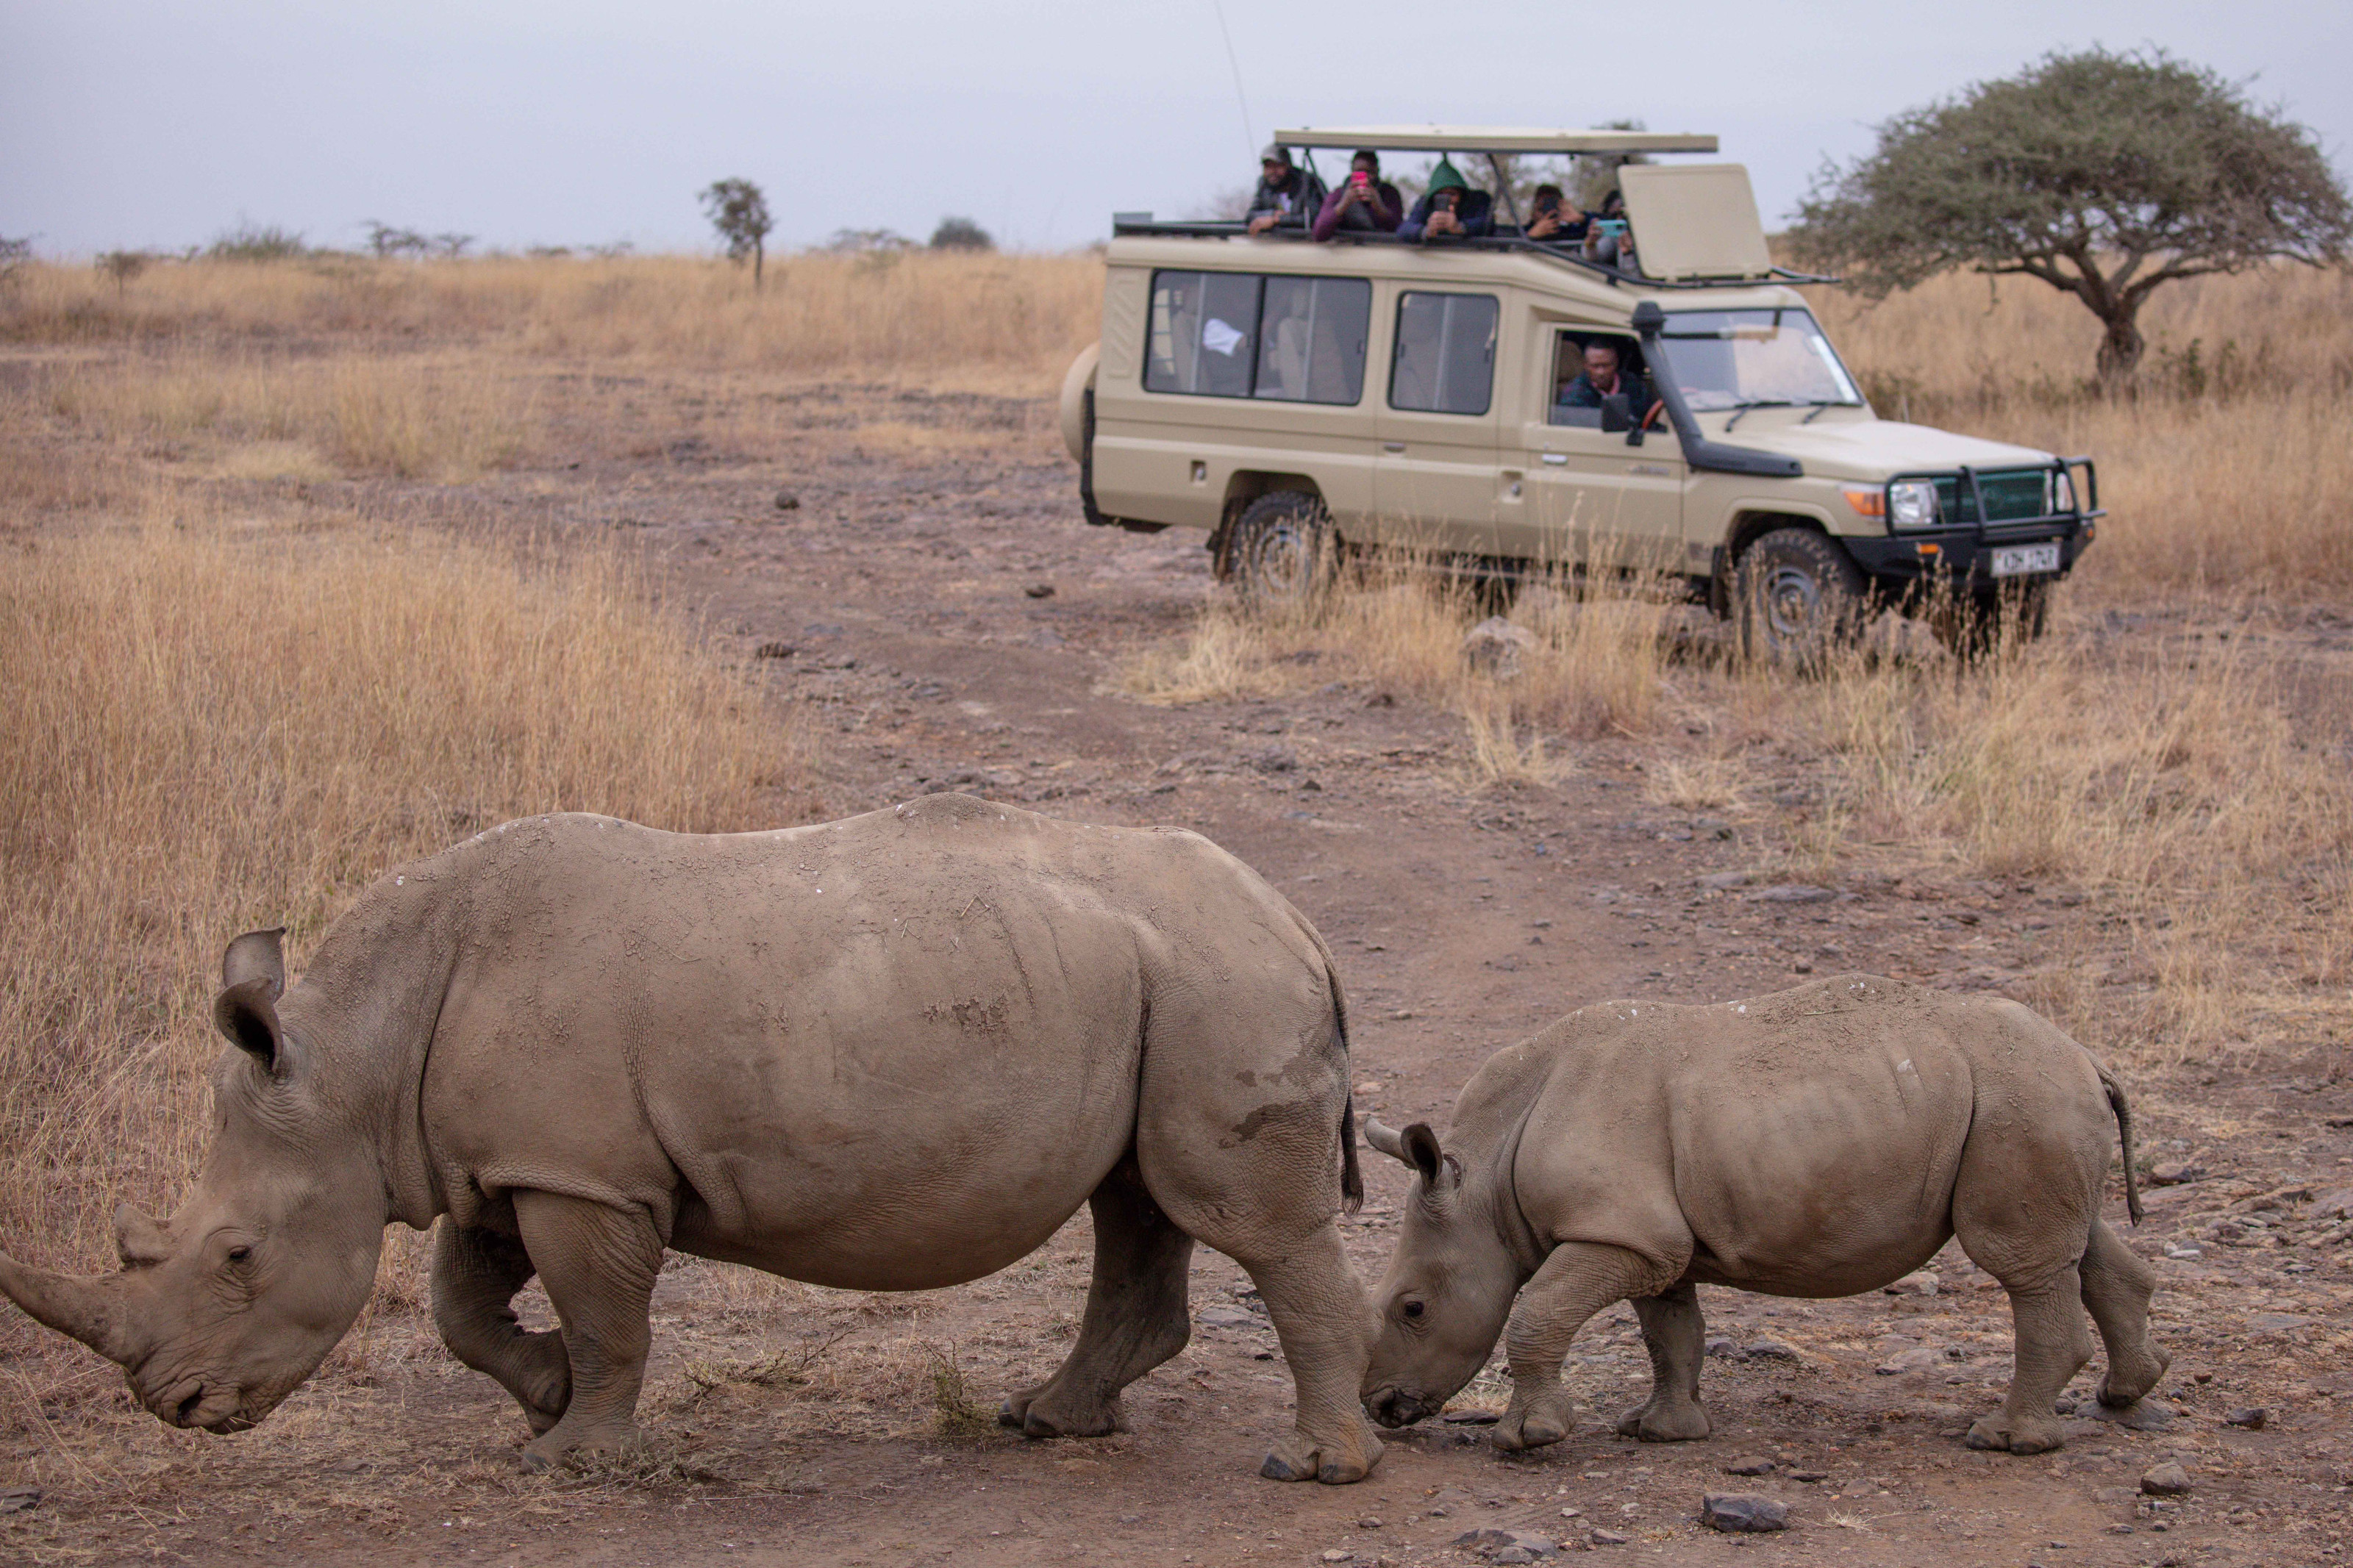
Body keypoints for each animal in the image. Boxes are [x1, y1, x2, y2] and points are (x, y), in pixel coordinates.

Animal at [0, 795, 1386, 1484]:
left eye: (235, 1255)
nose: (175, 1406)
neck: (357, 1060)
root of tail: (1297, 918)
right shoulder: (513, 1159)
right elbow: (461, 1305)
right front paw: (544, 1399)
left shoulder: (585, 1179)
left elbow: (608, 1316)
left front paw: (575, 1461)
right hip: (1160, 981)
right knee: (1137, 1200)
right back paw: (1047, 1421)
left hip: (1218, 981)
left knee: (1245, 1223)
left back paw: (1312, 1469)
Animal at [1358, 976, 2168, 1457]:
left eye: (1413, 1308)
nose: (1379, 1406)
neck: (1484, 1180)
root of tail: (2088, 1056)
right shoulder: (1649, 1241)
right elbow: (1670, 1332)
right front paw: (1661, 1432)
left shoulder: (1618, 1232)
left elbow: (1536, 1312)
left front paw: (1528, 1438)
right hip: (2032, 1101)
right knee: (2076, 1244)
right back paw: (2127, 1392)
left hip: (2018, 1097)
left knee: (2021, 1264)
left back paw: (2004, 1441)